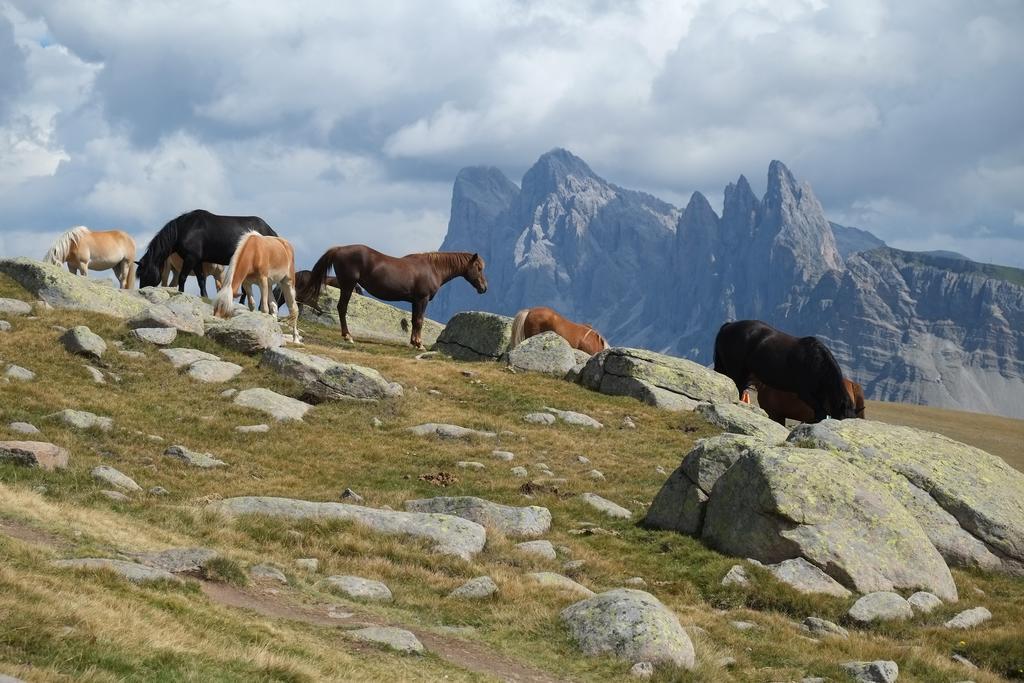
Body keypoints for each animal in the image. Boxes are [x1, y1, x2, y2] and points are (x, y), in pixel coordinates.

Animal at [138, 209, 280, 296]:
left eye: (144, 273)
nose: (141, 290)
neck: (185, 228)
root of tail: (271, 232)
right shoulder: (197, 261)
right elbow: (201, 280)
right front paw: (204, 296)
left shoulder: (190, 258)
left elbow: (182, 277)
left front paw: (181, 293)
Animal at [299, 245, 487, 350]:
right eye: (478, 267)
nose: (484, 288)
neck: (432, 268)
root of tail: (338, 249)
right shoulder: (422, 299)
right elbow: (420, 321)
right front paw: (419, 345)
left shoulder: (415, 301)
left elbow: (414, 320)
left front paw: (413, 342)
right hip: (347, 285)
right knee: (342, 308)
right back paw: (348, 336)